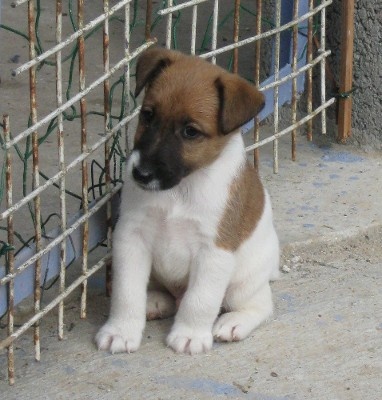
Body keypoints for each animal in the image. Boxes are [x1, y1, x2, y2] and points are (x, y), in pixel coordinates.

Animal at [95, 47, 280, 356]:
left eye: (190, 132)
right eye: (147, 115)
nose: (141, 174)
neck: (181, 189)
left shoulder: (214, 251)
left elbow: (200, 299)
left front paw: (190, 334)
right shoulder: (130, 236)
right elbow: (126, 292)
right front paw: (120, 330)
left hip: (243, 283)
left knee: (261, 304)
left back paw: (234, 322)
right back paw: (154, 301)